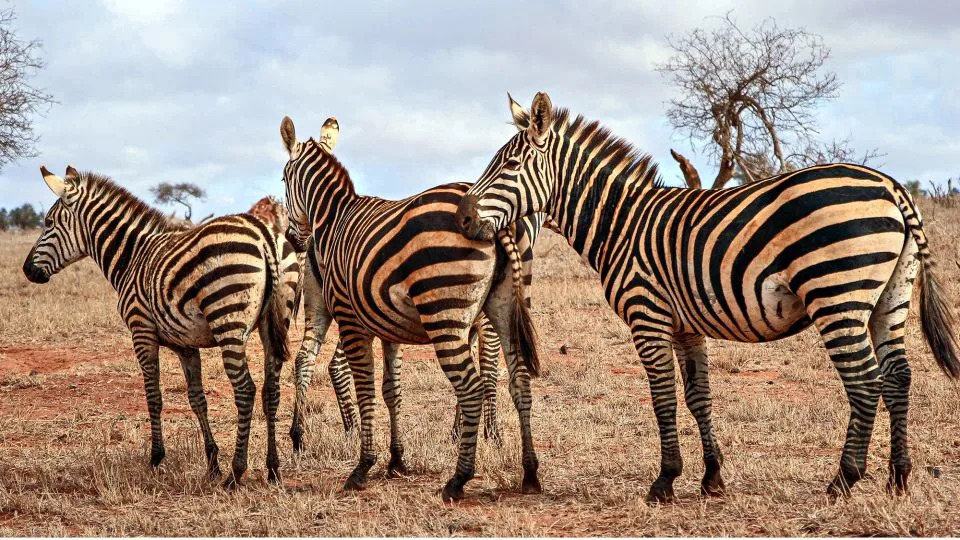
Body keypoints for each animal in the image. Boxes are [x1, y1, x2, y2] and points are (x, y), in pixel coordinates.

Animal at [22, 167, 300, 488]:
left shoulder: (141, 330)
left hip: (227, 319)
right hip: (275, 322)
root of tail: (264, 233)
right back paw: (273, 468)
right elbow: (197, 399)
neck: (132, 257)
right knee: (271, 391)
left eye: (48, 223)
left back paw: (236, 472)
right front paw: (211, 462)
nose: (27, 270)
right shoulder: (185, 344)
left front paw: (156, 458)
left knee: (245, 390)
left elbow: (153, 396)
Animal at [282, 116, 544, 500]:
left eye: (283, 180)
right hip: (498, 311)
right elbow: (391, 391)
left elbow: (368, 388)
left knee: (472, 386)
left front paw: (364, 465)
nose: (293, 239)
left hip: (442, 315)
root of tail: (495, 225)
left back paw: (459, 478)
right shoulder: (386, 325)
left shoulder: (352, 319)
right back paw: (529, 473)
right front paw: (395, 460)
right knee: (520, 381)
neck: (333, 219)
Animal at [456, 93, 960, 502]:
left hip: (837, 295)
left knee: (865, 382)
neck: (621, 224)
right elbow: (699, 397)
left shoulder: (648, 317)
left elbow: (662, 398)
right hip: (889, 297)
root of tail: (891, 186)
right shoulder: (686, 326)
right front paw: (711, 478)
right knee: (898, 377)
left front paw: (663, 482)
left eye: (508, 167)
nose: (461, 218)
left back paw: (844, 480)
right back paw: (898, 477)